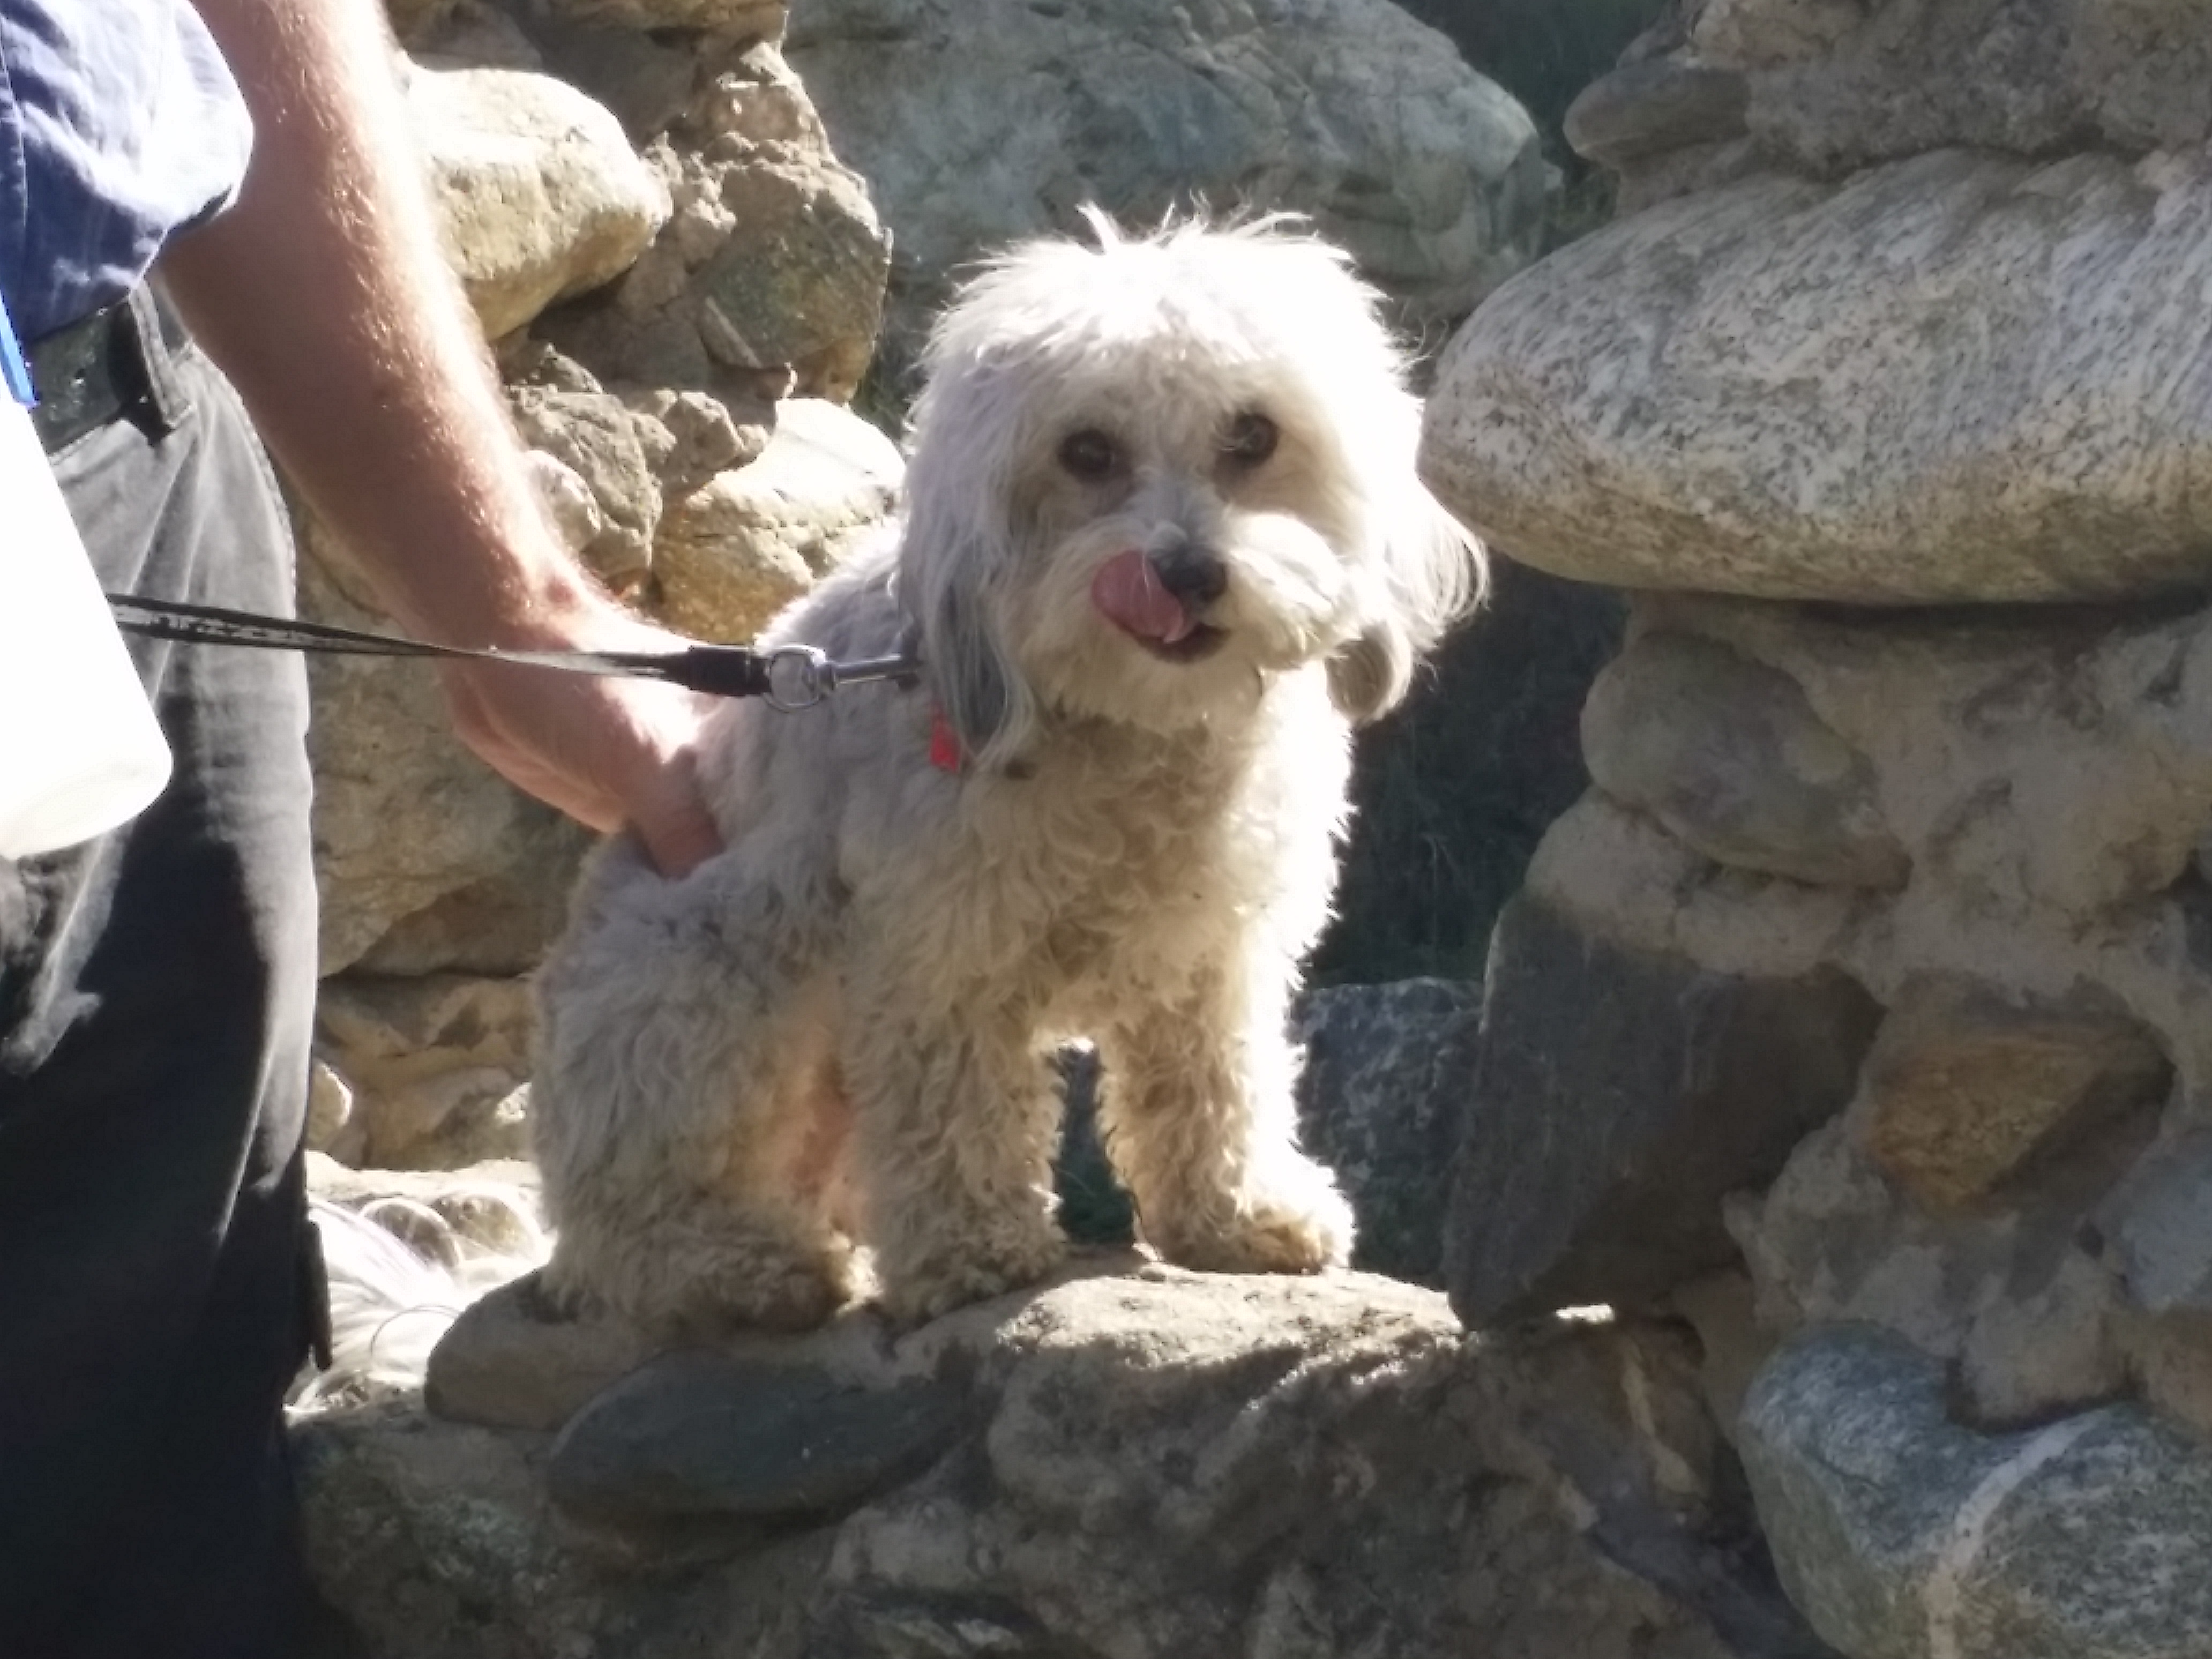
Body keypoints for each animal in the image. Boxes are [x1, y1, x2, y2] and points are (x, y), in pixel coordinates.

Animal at [530, 213, 1483, 1336]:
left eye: (1252, 437)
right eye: (1086, 452)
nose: (1185, 572)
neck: (1131, 729)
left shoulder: (1214, 956)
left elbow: (1212, 1087)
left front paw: (1236, 1216)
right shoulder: (938, 957)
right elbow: (956, 1109)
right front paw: (973, 1252)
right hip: (701, 982)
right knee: (634, 1226)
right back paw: (742, 1268)